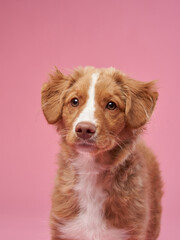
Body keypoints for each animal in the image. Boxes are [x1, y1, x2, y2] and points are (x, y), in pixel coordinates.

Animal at [41, 66, 163, 240]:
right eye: (74, 101)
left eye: (111, 105)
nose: (84, 129)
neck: (91, 170)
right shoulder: (63, 228)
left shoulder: (132, 230)